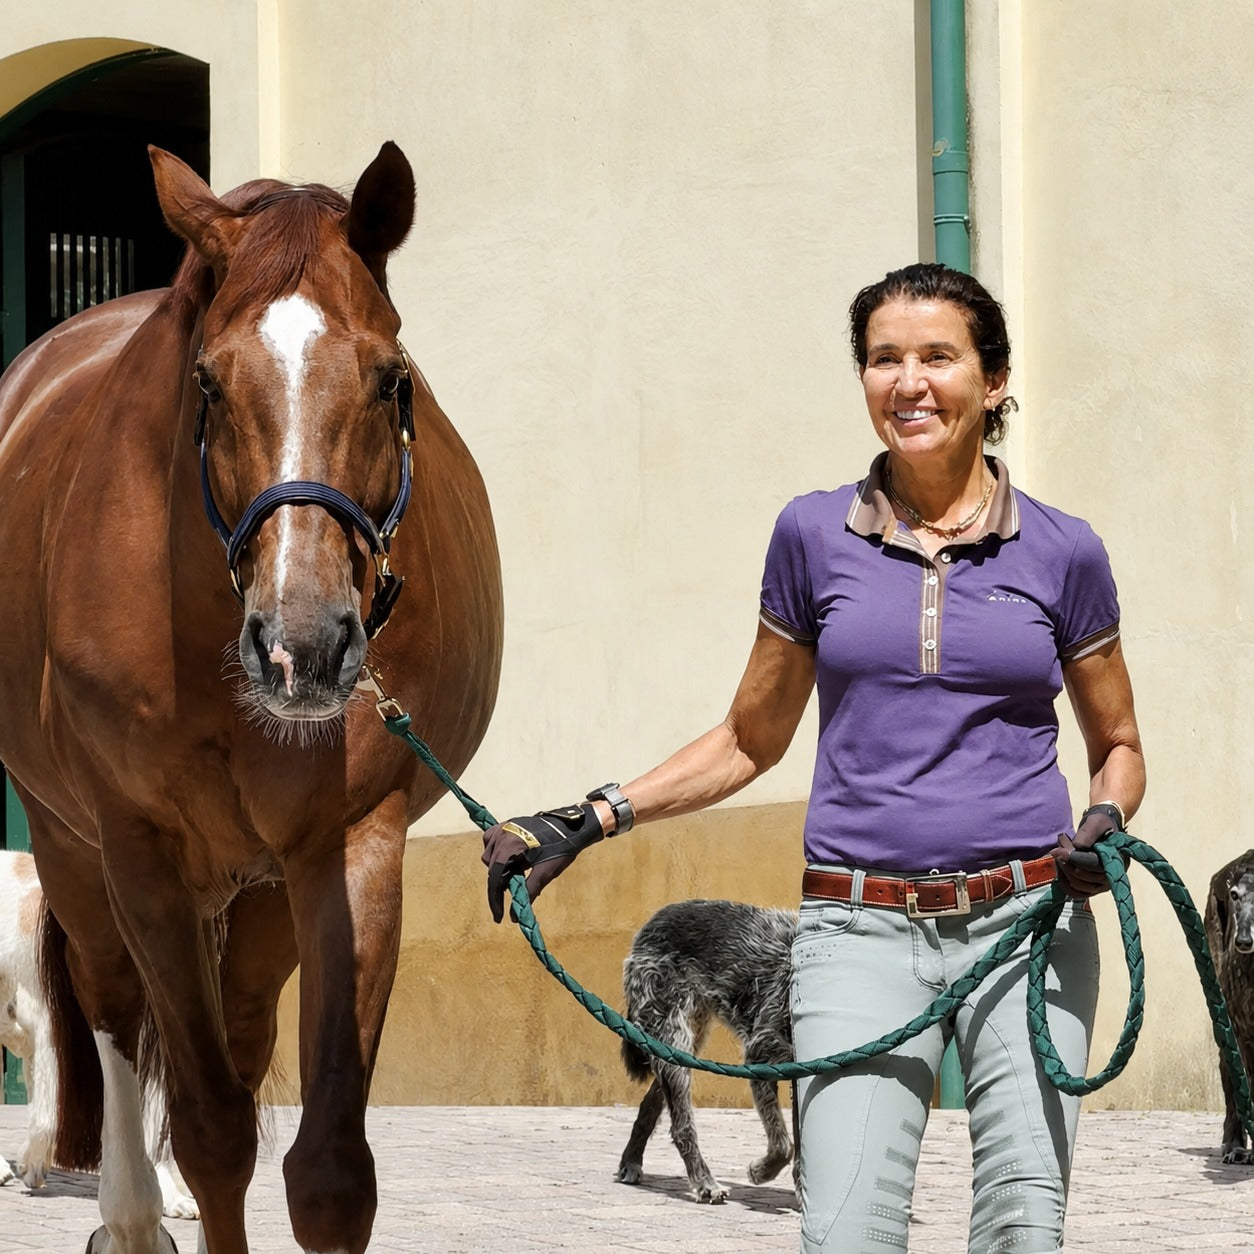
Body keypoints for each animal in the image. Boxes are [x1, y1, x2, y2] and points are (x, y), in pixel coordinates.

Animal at [0, 142, 503, 1253]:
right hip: (73, 847)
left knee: (231, 1030)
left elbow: (327, 1170)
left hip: (261, 890)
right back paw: (130, 1215)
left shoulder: (350, 844)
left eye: (392, 378)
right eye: (207, 382)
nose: (302, 648)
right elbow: (211, 1128)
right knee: (113, 1013)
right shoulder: (139, 848)